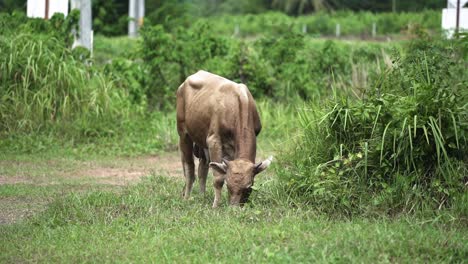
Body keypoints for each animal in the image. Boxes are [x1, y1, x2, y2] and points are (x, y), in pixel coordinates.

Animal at [175, 71, 270, 207]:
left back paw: (202, 197)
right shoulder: (214, 140)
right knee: (189, 167)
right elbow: (218, 177)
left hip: (201, 141)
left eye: (248, 187)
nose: (234, 207)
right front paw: (216, 206)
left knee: (202, 168)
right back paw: (186, 197)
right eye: (228, 185)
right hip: (183, 133)